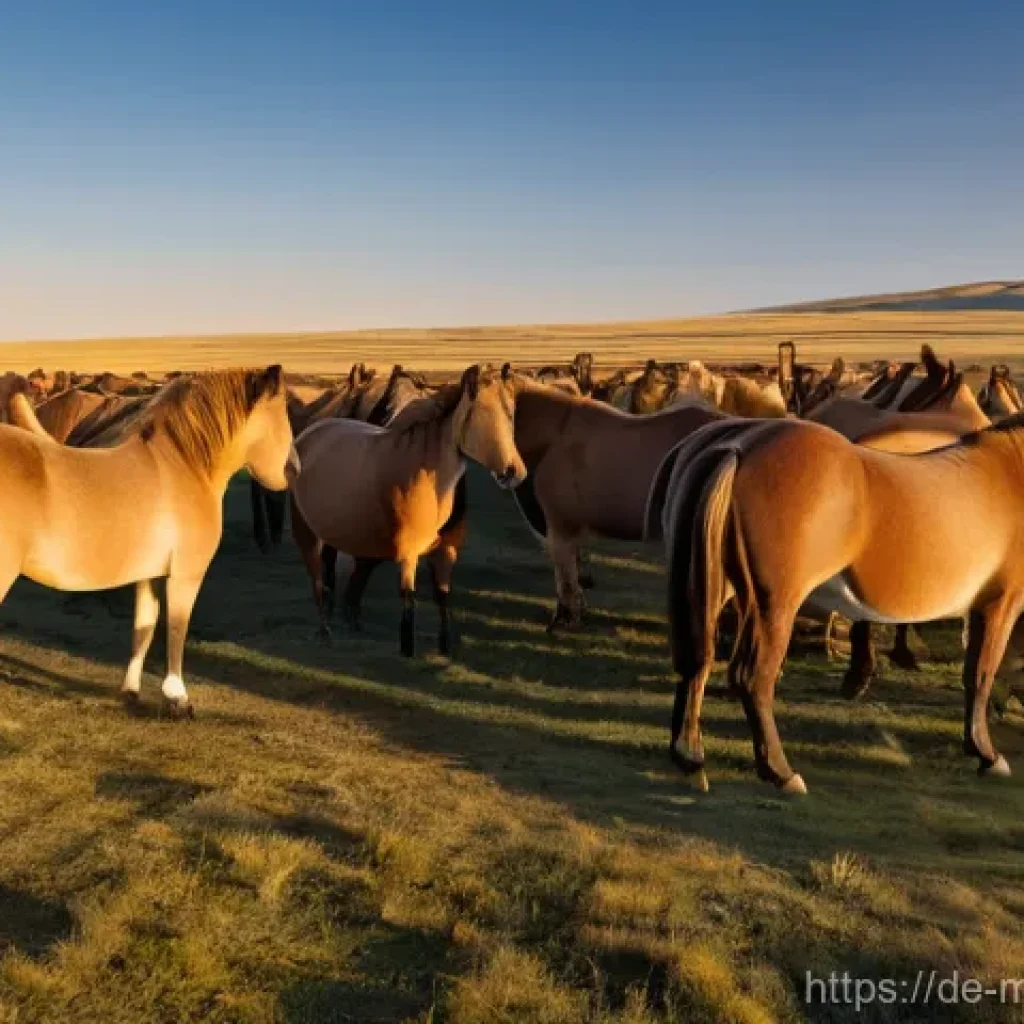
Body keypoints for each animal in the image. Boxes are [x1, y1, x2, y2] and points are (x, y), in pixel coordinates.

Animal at [0, 367, 297, 716]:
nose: (293, 470)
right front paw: (178, 698)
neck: (182, 465)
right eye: (282, 416)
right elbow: (177, 629)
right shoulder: (185, 575)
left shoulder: (149, 575)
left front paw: (131, 691)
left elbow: (144, 628)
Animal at [289, 364, 525, 656]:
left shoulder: (445, 552)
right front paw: (406, 648)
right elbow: (408, 598)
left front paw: (446, 643)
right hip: (307, 532)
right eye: (482, 413)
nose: (514, 472)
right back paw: (325, 628)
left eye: (510, 413)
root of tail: (309, 433)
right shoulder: (408, 552)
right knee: (318, 574)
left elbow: (442, 595)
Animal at [653, 412, 1024, 794]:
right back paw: (780, 772)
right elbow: (981, 674)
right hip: (774, 605)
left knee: (695, 662)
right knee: (752, 678)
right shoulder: (1001, 603)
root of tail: (737, 447)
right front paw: (987, 755)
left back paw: (690, 758)